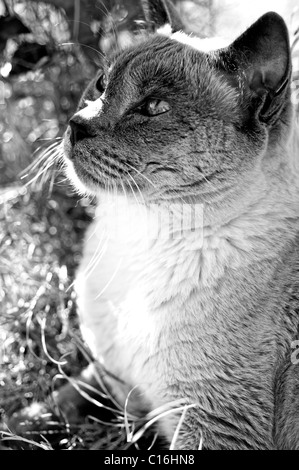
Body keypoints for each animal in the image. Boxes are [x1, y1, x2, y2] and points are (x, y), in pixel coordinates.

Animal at [62, 0, 299, 450]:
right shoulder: (110, 379)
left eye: (153, 108)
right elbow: (46, 402)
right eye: (101, 84)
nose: (75, 124)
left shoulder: (211, 424)